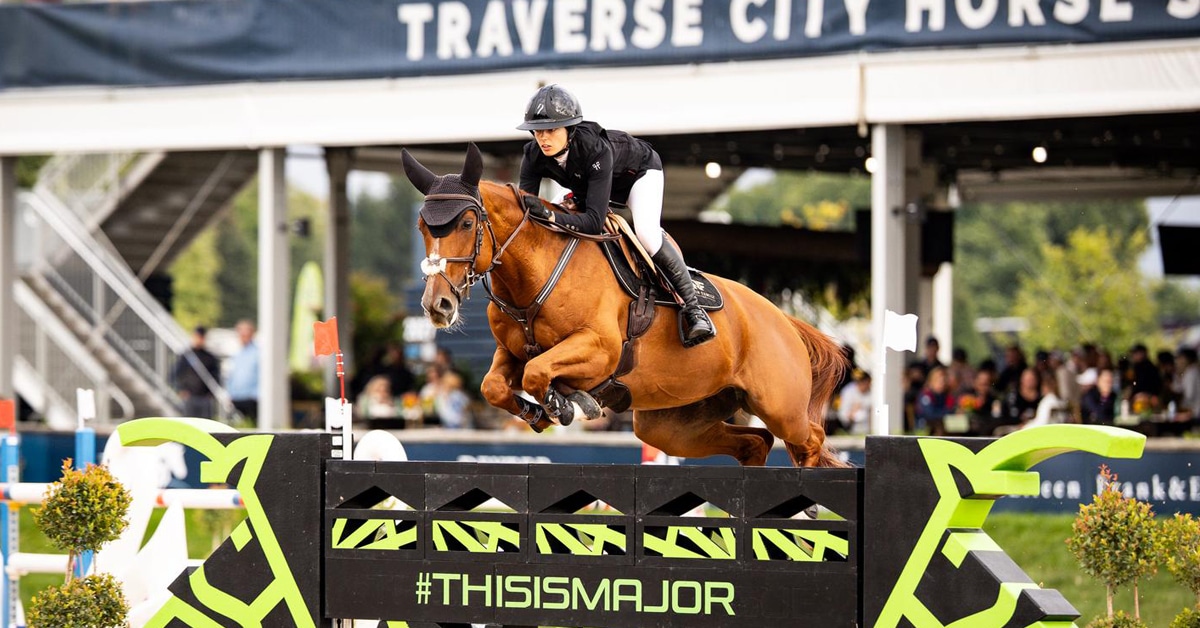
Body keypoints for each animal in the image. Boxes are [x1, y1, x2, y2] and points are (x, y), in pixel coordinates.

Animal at [402, 144, 848, 467]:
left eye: (466, 223)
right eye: (422, 227)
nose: (438, 305)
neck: (535, 273)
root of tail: (784, 320)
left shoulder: (600, 348)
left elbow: (538, 372)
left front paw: (566, 404)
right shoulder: (511, 352)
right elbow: (496, 385)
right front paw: (545, 411)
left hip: (778, 404)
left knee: (810, 440)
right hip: (673, 424)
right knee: (755, 443)